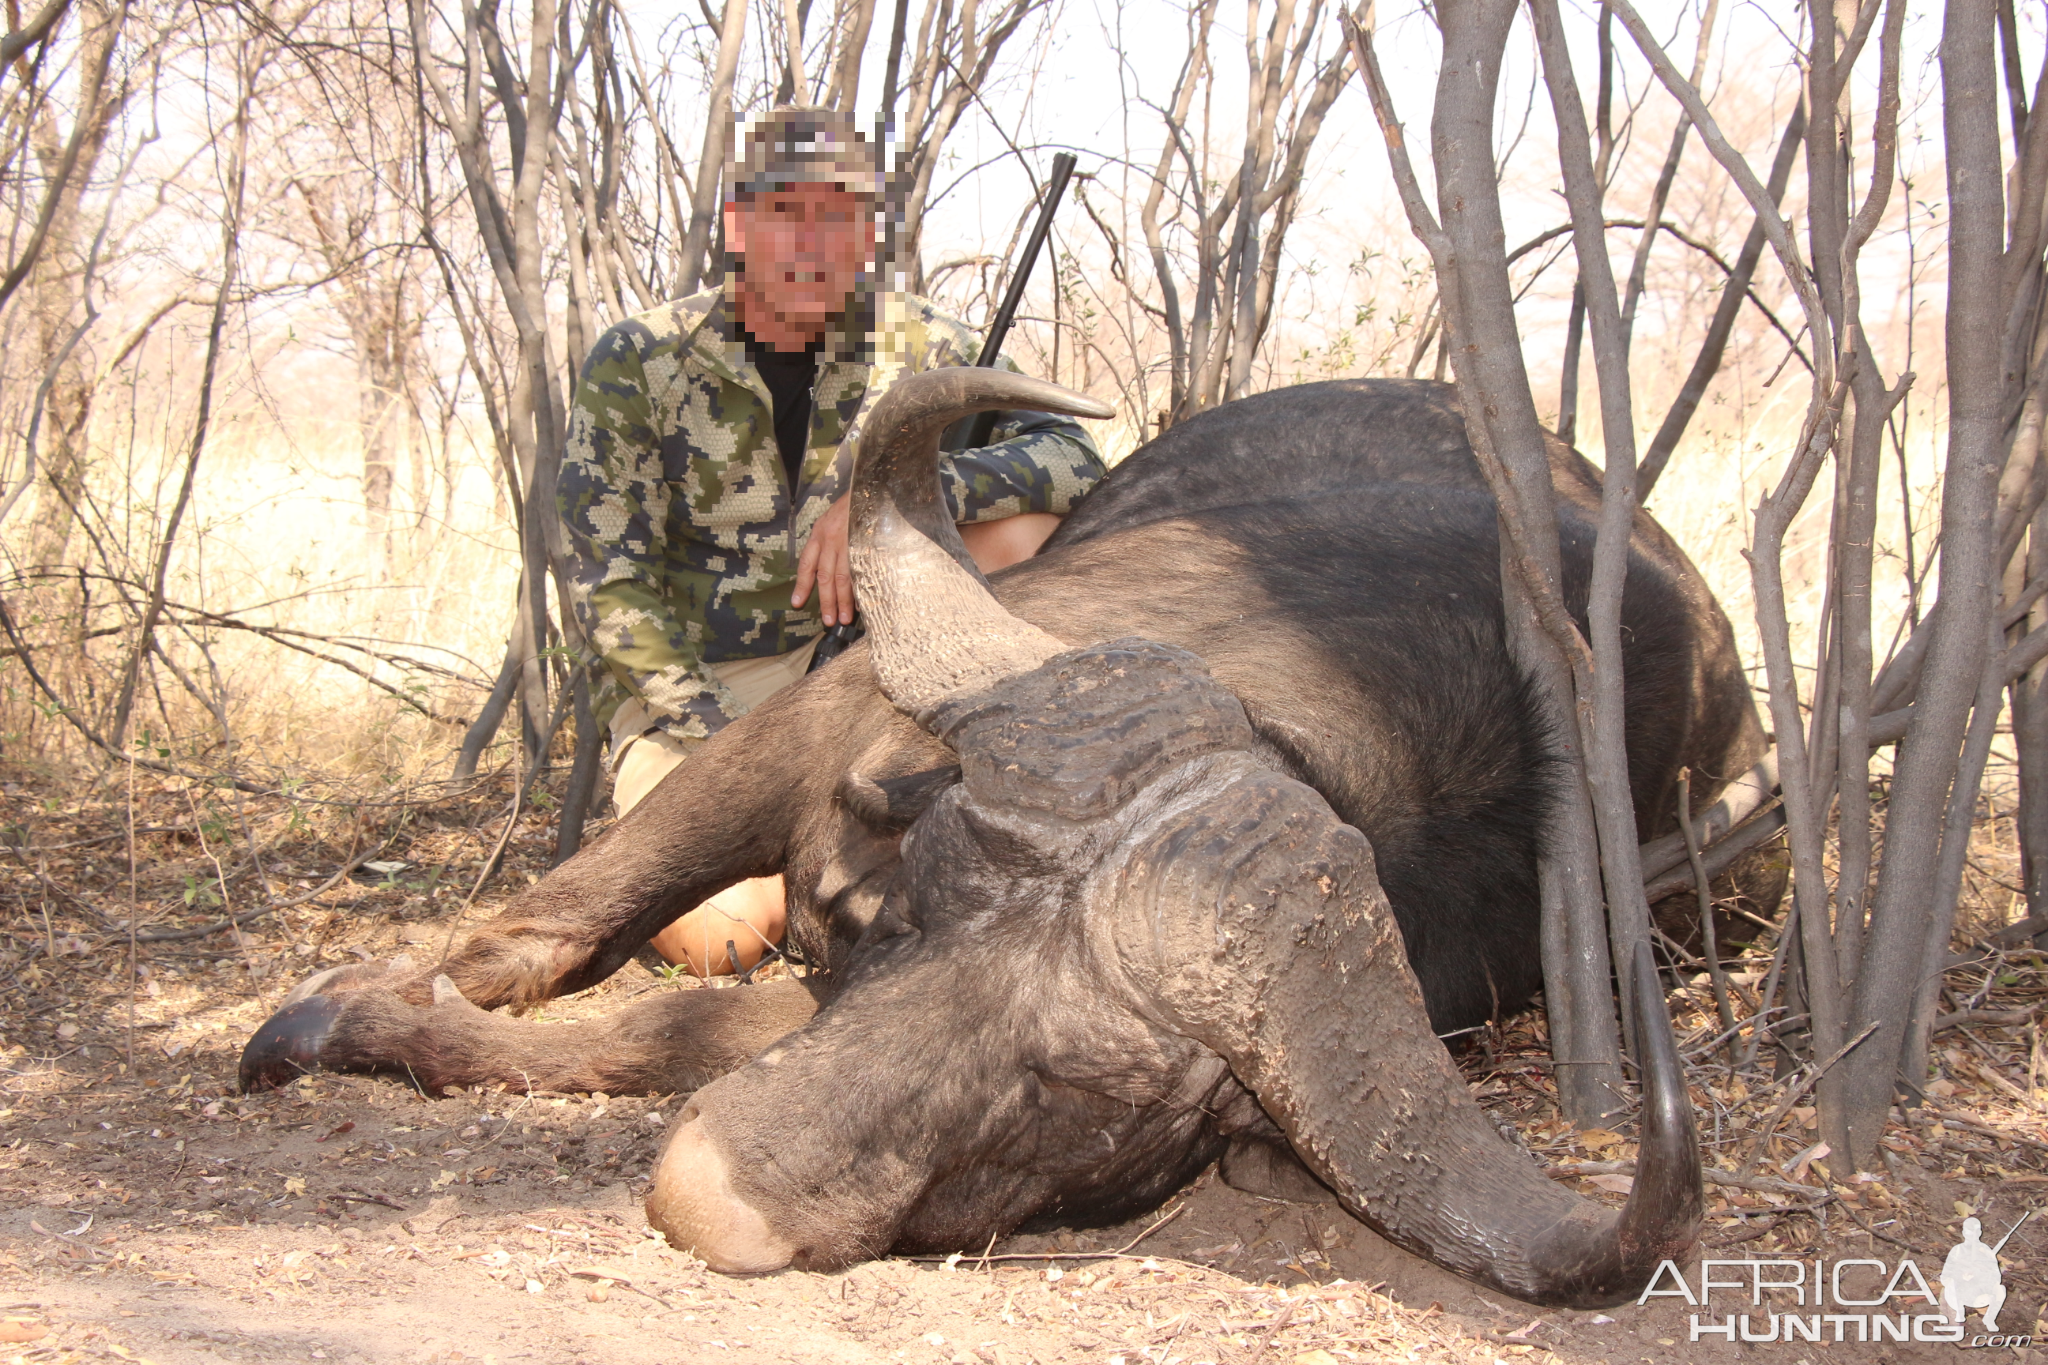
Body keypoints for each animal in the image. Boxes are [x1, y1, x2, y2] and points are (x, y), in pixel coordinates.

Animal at [247, 374, 1769, 1309]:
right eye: (929, 905)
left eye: (1074, 1091)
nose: (701, 1193)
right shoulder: (804, 729)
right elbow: (552, 922)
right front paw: (335, 1013)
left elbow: (678, 1033)